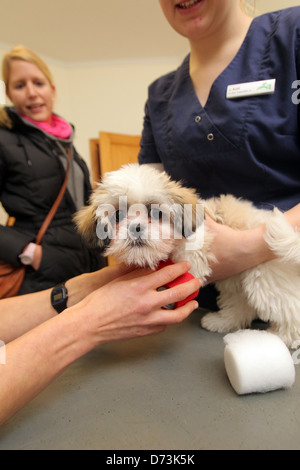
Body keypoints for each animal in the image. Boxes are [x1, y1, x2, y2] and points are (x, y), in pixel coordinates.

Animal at [74, 163, 300, 346]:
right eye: (118, 215)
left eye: (155, 212)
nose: (135, 228)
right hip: (239, 279)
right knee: (241, 305)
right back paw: (221, 322)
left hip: (265, 276)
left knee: (289, 312)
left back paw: (281, 339)